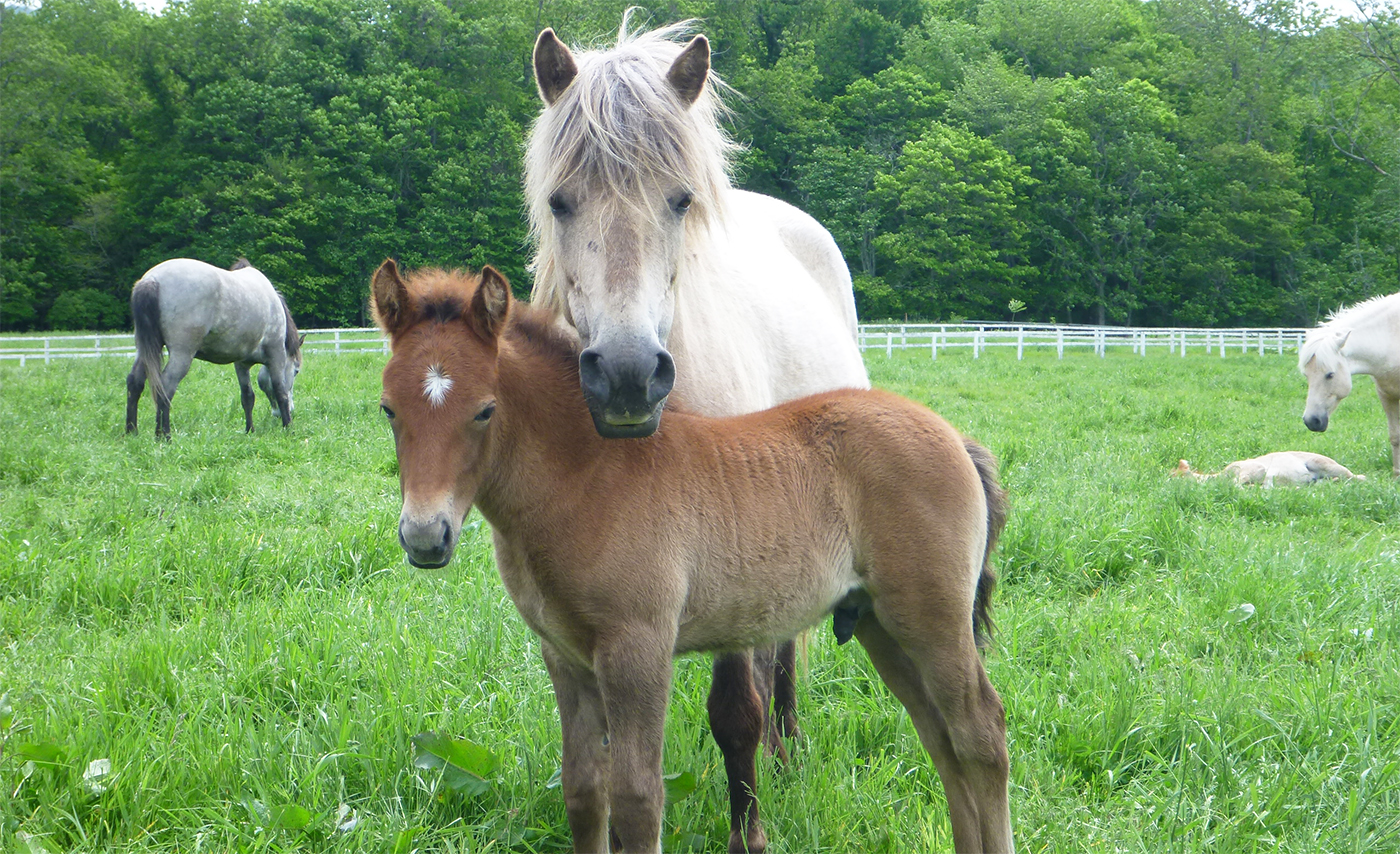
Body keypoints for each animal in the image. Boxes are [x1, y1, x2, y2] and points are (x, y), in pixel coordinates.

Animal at [126, 258, 305, 439]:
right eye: (296, 371)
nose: (280, 413)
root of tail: (152, 279)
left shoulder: (241, 364)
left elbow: (247, 396)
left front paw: (249, 430)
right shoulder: (277, 355)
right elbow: (280, 391)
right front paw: (289, 428)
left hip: (145, 350)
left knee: (135, 382)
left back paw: (132, 432)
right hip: (182, 354)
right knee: (166, 387)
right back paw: (164, 436)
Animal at [371, 261, 1014, 854]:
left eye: (484, 410)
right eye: (388, 410)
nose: (426, 536)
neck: (585, 478)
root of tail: (956, 438)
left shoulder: (638, 648)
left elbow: (637, 797)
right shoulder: (565, 656)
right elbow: (584, 791)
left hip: (932, 620)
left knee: (981, 733)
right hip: (882, 625)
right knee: (941, 740)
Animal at [526, 18, 870, 848]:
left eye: (679, 200)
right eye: (560, 202)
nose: (625, 374)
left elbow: (735, 713)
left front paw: (749, 830)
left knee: (781, 657)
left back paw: (787, 750)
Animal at [1299, 291, 1400, 477]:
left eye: (1330, 375)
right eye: (1306, 375)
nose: (1311, 421)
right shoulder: (1386, 395)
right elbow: (1395, 436)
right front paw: (1397, 473)